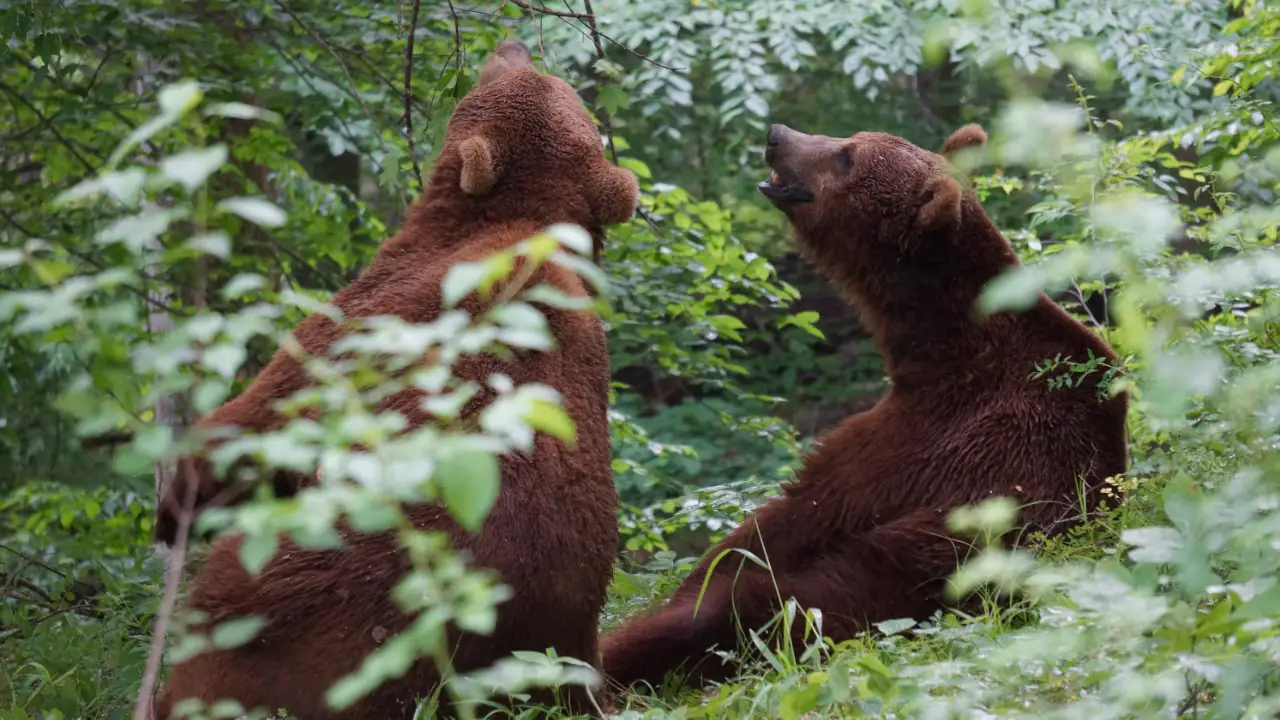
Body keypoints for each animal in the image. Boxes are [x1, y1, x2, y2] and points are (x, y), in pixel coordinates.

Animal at [150, 39, 638, 720]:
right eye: (548, 78)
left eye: (510, 75)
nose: (512, 43)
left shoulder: (375, 313)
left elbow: (263, 411)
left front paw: (178, 506)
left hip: (297, 598)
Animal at [598, 123, 1129, 690]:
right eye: (851, 137)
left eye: (847, 157)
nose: (777, 135)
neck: (950, 345)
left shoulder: (927, 441)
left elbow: (784, 519)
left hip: (898, 575)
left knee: (742, 615)